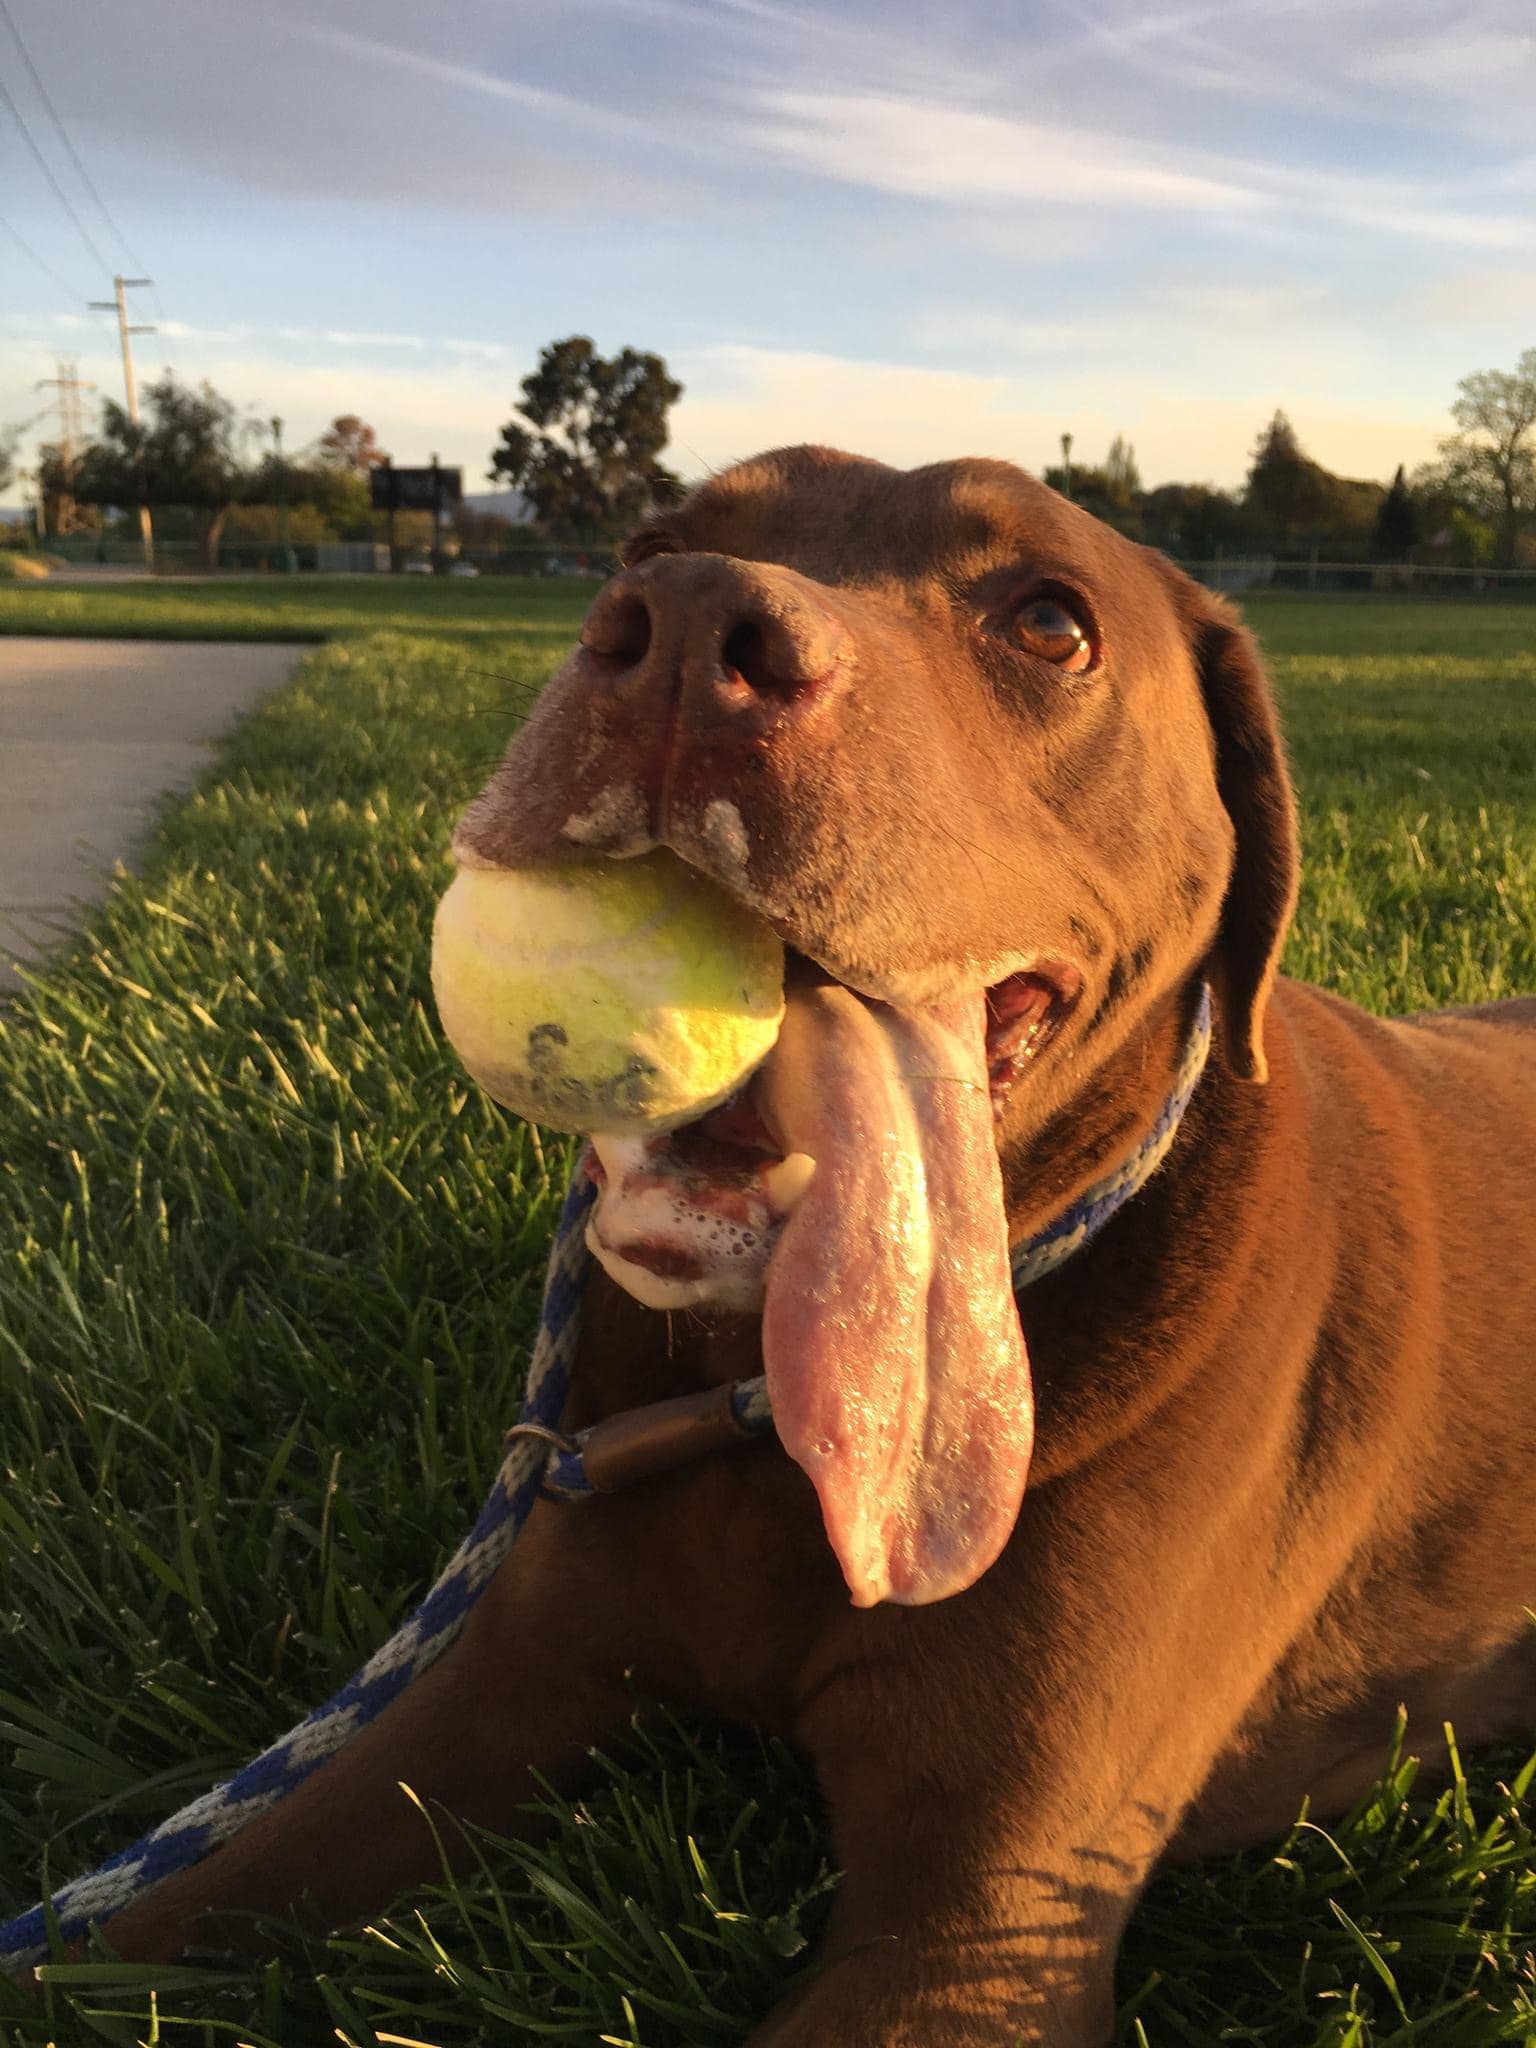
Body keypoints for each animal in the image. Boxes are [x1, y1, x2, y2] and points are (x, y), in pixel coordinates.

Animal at [96, 452, 1536, 2048]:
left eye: (1050, 621)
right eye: (654, 543)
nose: (681, 626)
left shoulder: (973, 1927)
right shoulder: (500, 1679)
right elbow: (138, 1934)